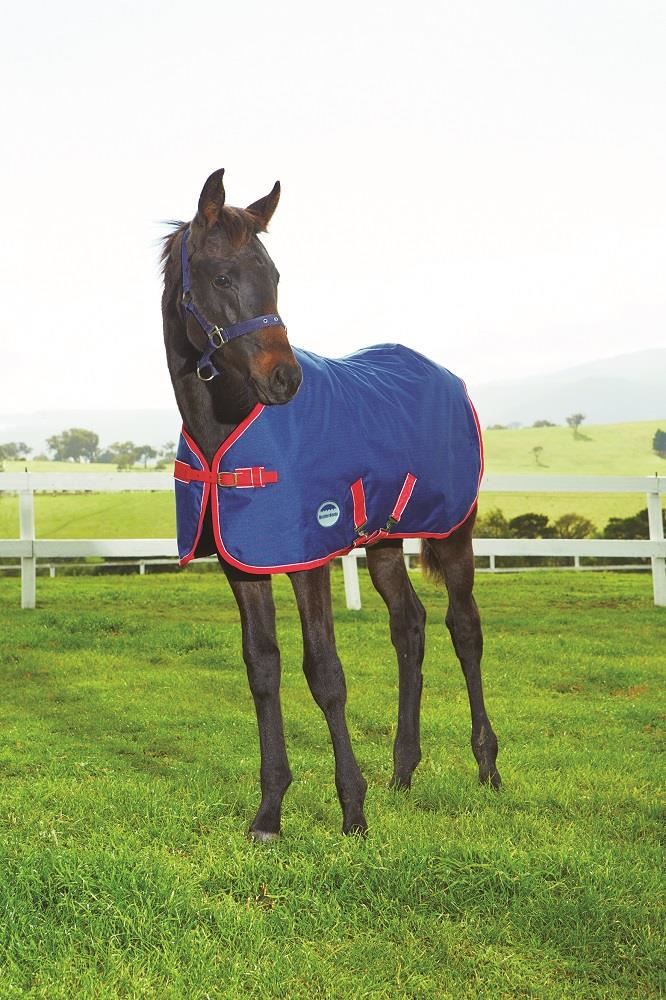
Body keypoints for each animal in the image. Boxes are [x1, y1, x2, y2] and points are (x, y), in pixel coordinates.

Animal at [161, 168, 500, 839]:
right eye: (222, 277)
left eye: (275, 275)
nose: (285, 379)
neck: (228, 429)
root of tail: (447, 376)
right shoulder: (244, 564)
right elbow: (262, 669)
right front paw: (269, 813)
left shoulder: (309, 558)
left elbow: (324, 672)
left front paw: (352, 811)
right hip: (386, 541)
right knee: (409, 625)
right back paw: (403, 770)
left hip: (454, 532)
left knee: (464, 627)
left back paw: (487, 766)